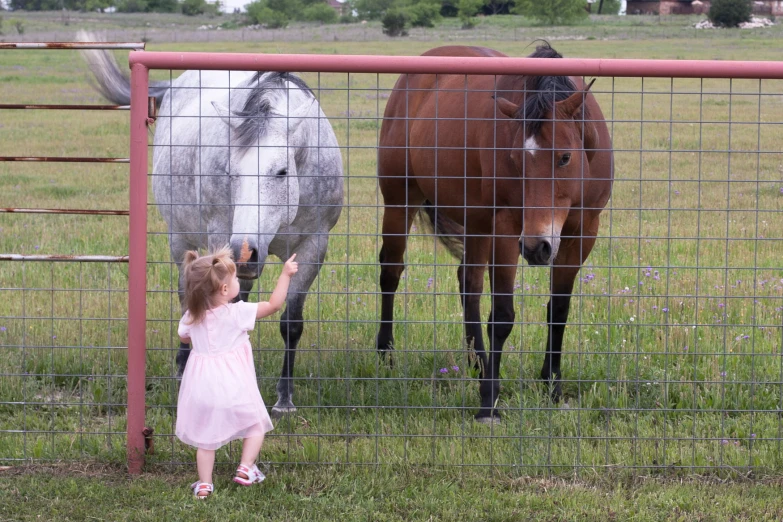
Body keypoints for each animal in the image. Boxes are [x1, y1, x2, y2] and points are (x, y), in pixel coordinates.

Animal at [79, 37, 344, 414]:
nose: (244, 253)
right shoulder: (220, 235)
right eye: (232, 172)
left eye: (281, 171)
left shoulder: (313, 246)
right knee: (186, 297)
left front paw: (284, 398)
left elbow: (291, 323)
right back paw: (182, 366)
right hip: (181, 239)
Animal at [376, 42, 616, 420]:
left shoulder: (582, 232)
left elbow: (559, 311)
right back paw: (387, 354)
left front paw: (551, 386)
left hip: (475, 223)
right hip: (401, 200)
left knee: (468, 283)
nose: (536, 248)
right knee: (391, 271)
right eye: (516, 159)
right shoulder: (505, 230)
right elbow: (502, 317)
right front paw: (489, 401)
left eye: (565, 157)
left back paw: (477, 363)